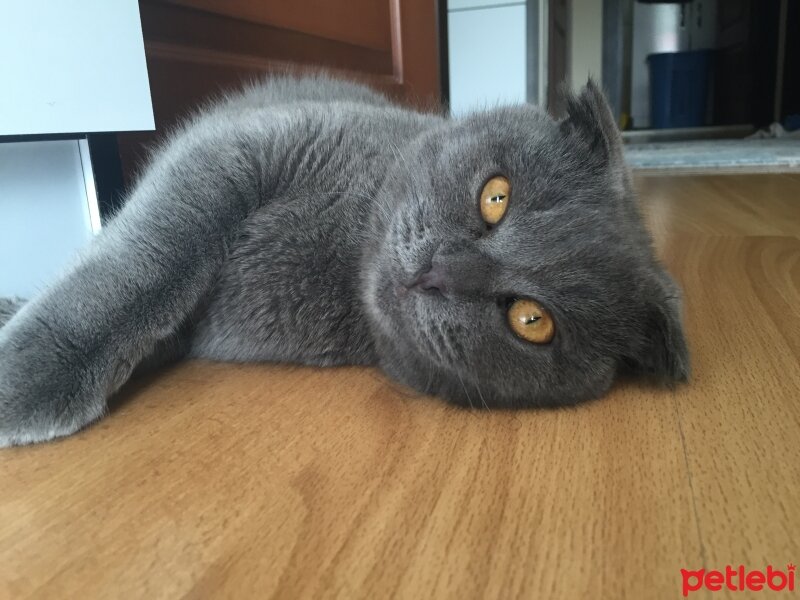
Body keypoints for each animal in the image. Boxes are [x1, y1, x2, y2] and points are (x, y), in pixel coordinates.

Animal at [0, 72, 688, 446]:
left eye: (532, 321)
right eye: (497, 196)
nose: (441, 270)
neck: (341, 255)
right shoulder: (242, 147)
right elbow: (149, 258)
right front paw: (31, 373)